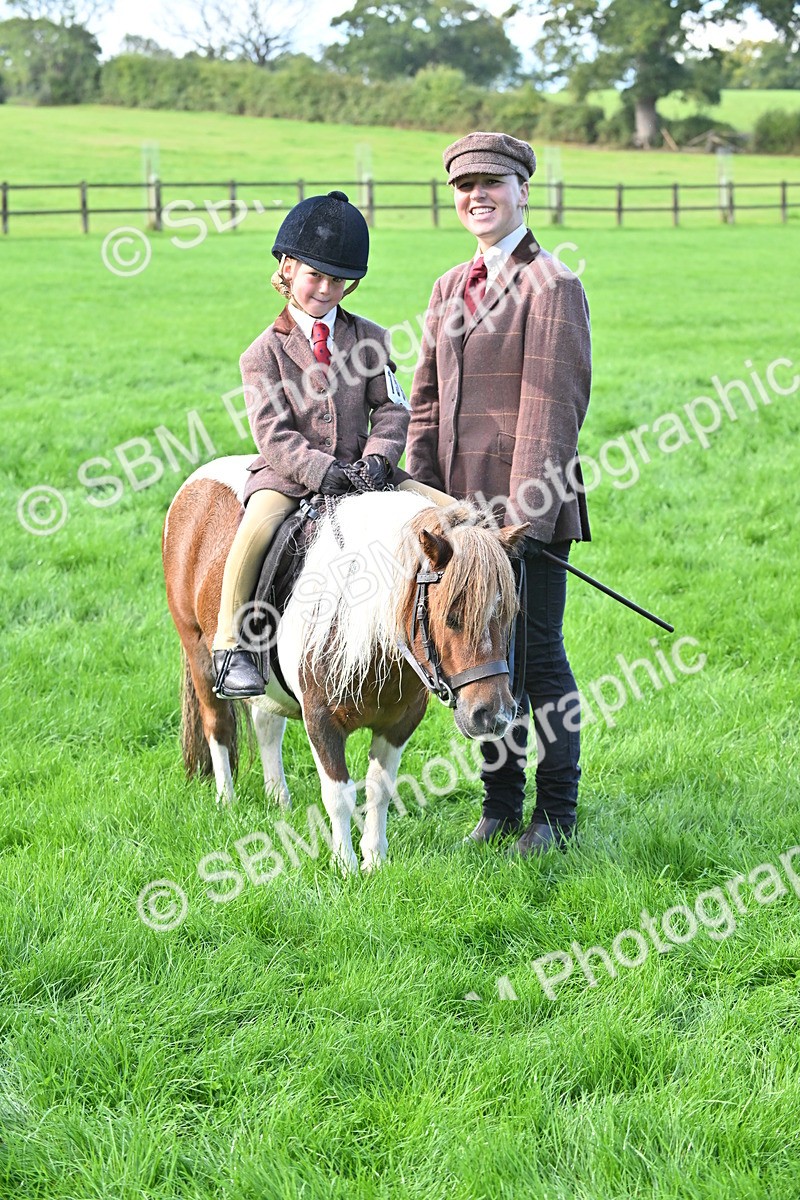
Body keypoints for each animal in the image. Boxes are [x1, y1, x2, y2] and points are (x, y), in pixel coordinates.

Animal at [162, 455, 528, 873]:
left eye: (509, 614)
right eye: (451, 616)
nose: (494, 715)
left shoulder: (400, 723)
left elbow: (379, 788)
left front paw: (376, 860)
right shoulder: (320, 719)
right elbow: (338, 794)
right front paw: (345, 866)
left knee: (267, 724)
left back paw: (278, 799)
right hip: (198, 653)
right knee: (218, 725)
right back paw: (227, 800)